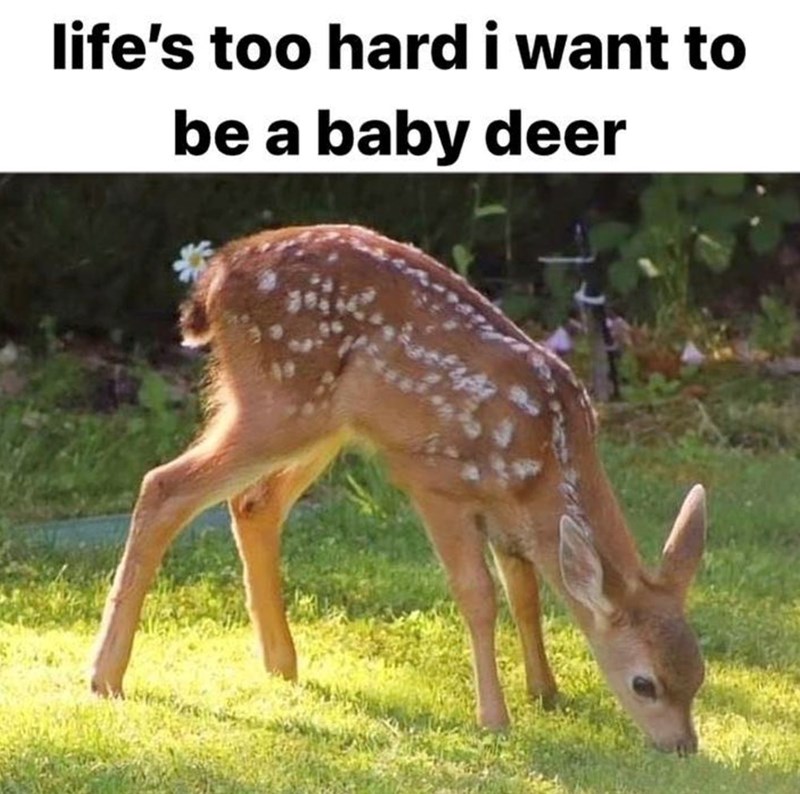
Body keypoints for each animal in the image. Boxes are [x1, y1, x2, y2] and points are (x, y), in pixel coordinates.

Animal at [89, 224, 707, 754]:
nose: (682, 746)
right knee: (164, 485)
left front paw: (546, 692)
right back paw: (105, 676)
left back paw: (281, 663)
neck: (547, 461)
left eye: (700, 676)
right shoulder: (432, 479)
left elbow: (525, 594)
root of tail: (215, 278)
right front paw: (495, 719)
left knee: (252, 503)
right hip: (282, 403)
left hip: (322, 423)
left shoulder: (510, 518)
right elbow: (479, 596)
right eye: (644, 683)